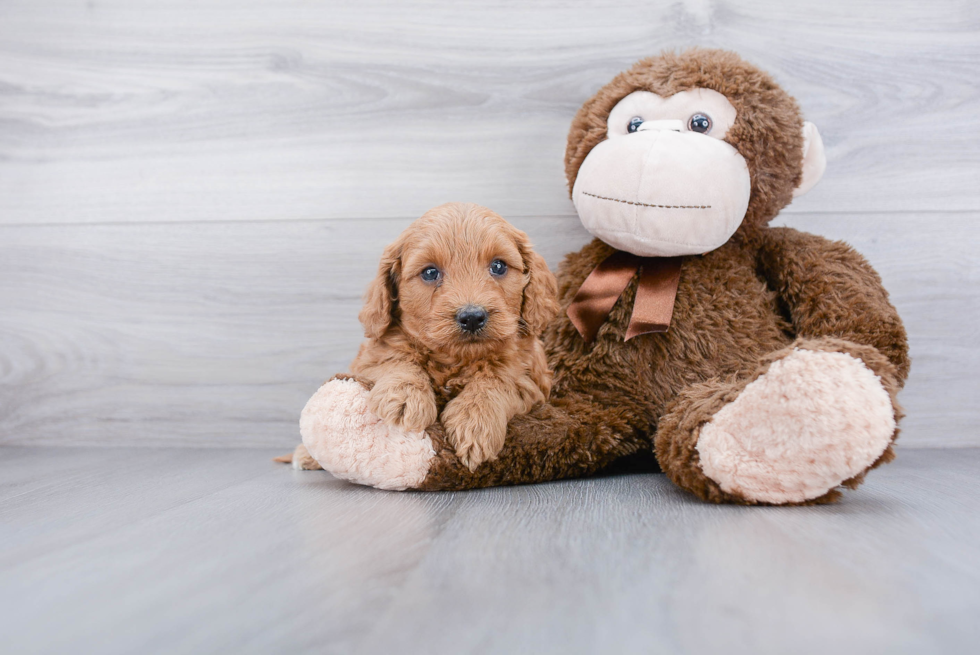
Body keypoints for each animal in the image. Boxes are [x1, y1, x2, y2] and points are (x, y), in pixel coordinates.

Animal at [284, 204, 560, 472]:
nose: (472, 317)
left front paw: (476, 422)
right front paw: (405, 397)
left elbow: (499, 378)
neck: (454, 359)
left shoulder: (532, 377)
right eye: (429, 272)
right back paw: (306, 455)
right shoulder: (371, 358)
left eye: (499, 266)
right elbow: (398, 360)